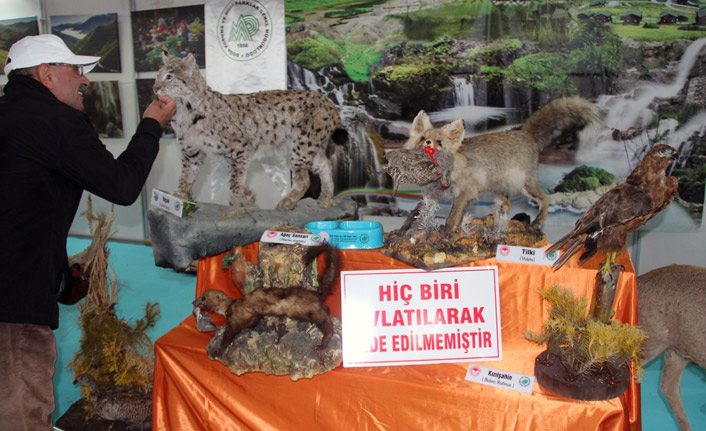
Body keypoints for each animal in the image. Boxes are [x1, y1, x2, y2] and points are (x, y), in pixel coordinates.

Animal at [190, 243, 338, 358]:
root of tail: (315, 293)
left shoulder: (234, 321)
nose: (193, 302)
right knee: (327, 310)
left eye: (203, 297)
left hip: (308, 311)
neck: (230, 306)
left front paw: (218, 351)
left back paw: (322, 344)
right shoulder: (253, 317)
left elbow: (228, 337)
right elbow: (251, 324)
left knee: (327, 324)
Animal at [404, 96, 596, 235]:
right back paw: (497, 222)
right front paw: (405, 230)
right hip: (498, 188)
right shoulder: (432, 196)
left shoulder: (465, 194)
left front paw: (446, 236)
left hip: (524, 185)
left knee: (545, 199)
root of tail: (524, 132)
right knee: (508, 204)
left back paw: (537, 223)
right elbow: (416, 213)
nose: (427, 143)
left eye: (439, 143)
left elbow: (452, 218)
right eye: (422, 138)